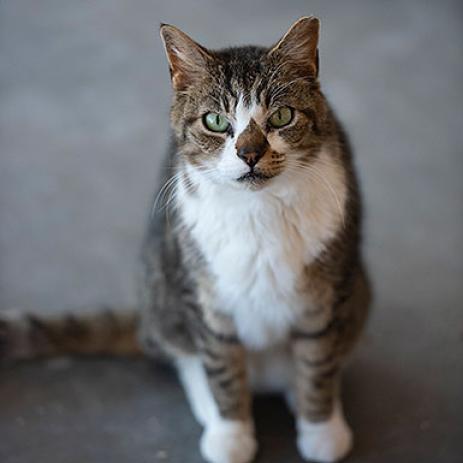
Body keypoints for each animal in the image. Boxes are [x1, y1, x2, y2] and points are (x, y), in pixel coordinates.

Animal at [0, 16, 370, 463]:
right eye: (216, 122)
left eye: (282, 116)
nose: (249, 153)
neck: (258, 210)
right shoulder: (205, 297)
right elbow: (222, 368)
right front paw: (231, 435)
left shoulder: (328, 294)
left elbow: (317, 364)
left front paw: (321, 430)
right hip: (164, 291)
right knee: (187, 359)